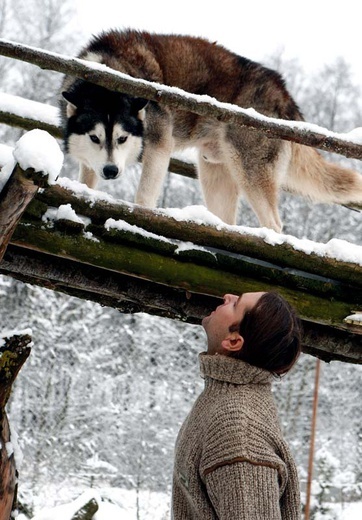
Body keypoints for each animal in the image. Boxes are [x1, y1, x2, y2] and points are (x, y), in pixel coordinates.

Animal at [59, 28, 362, 231]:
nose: (111, 171)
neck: (108, 72)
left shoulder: (159, 144)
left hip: (249, 171)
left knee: (274, 226)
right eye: (95, 137)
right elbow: (87, 181)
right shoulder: (92, 160)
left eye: (122, 138)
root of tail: (283, 91)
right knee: (227, 220)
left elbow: (144, 197)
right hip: (214, 171)